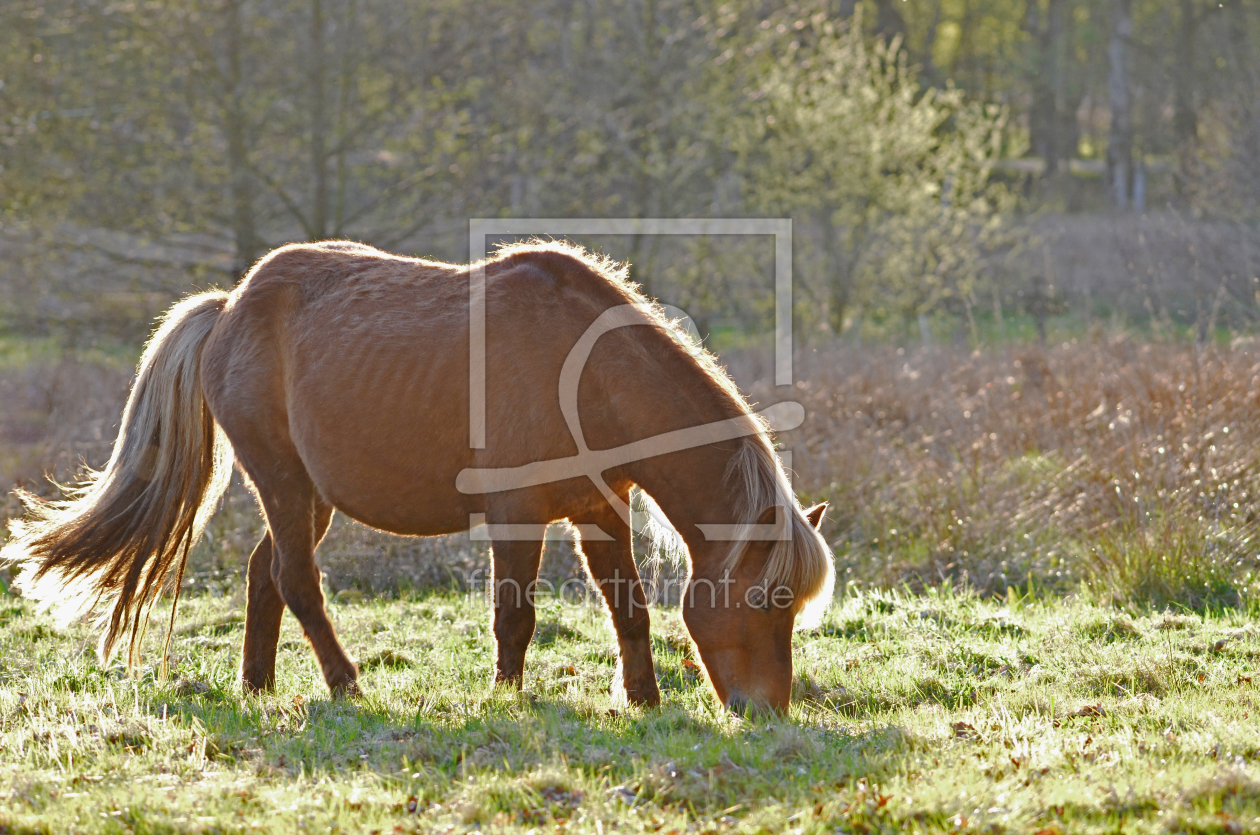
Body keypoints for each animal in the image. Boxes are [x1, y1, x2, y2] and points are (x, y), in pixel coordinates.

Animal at [2, 240, 836, 710]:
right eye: (765, 598)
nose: (766, 709)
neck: (586, 374)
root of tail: (229, 306)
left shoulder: (598, 510)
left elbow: (627, 608)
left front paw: (644, 699)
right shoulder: (516, 514)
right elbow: (514, 614)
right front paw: (506, 696)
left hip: (310, 495)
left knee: (266, 570)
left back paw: (258, 684)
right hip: (282, 480)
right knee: (298, 580)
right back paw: (345, 683)